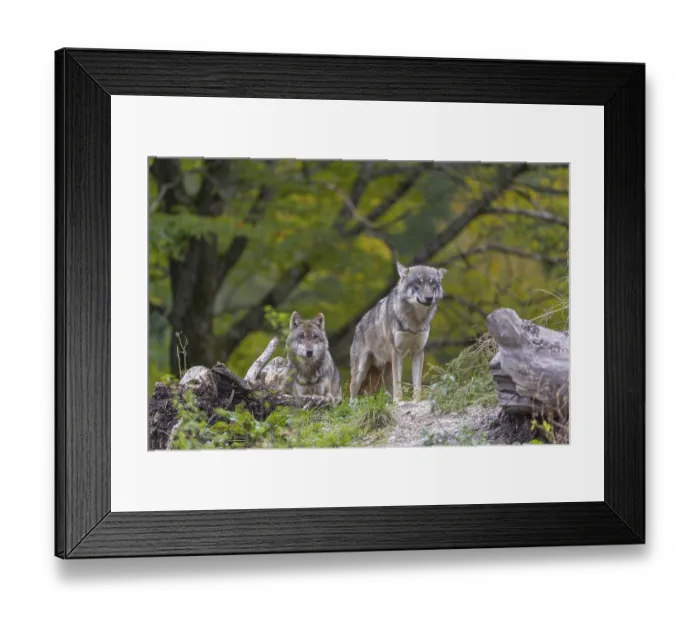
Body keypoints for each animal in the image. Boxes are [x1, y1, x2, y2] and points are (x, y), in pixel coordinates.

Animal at [350, 261, 446, 403]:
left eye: (432, 283)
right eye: (418, 283)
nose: (429, 298)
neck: (415, 321)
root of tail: (357, 327)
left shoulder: (418, 352)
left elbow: (416, 383)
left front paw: (416, 400)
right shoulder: (397, 351)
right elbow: (398, 383)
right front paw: (398, 401)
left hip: (384, 372)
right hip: (361, 371)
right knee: (351, 395)